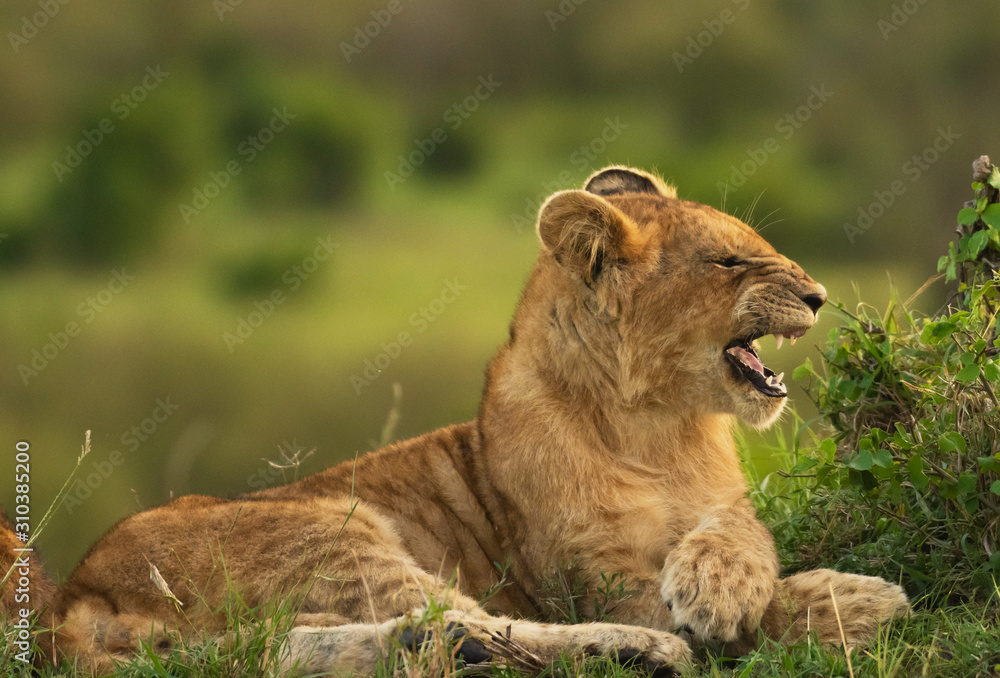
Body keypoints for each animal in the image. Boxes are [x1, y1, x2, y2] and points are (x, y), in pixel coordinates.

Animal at [40, 167, 909, 675]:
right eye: (728, 262)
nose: (820, 296)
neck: (662, 427)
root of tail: (72, 600)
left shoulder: (721, 501)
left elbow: (742, 532)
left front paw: (728, 583)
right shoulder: (596, 579)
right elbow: (742, 612)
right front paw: (849, 599)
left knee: (325, 643)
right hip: (334, 533)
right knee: (457, 616)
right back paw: (647, 651)